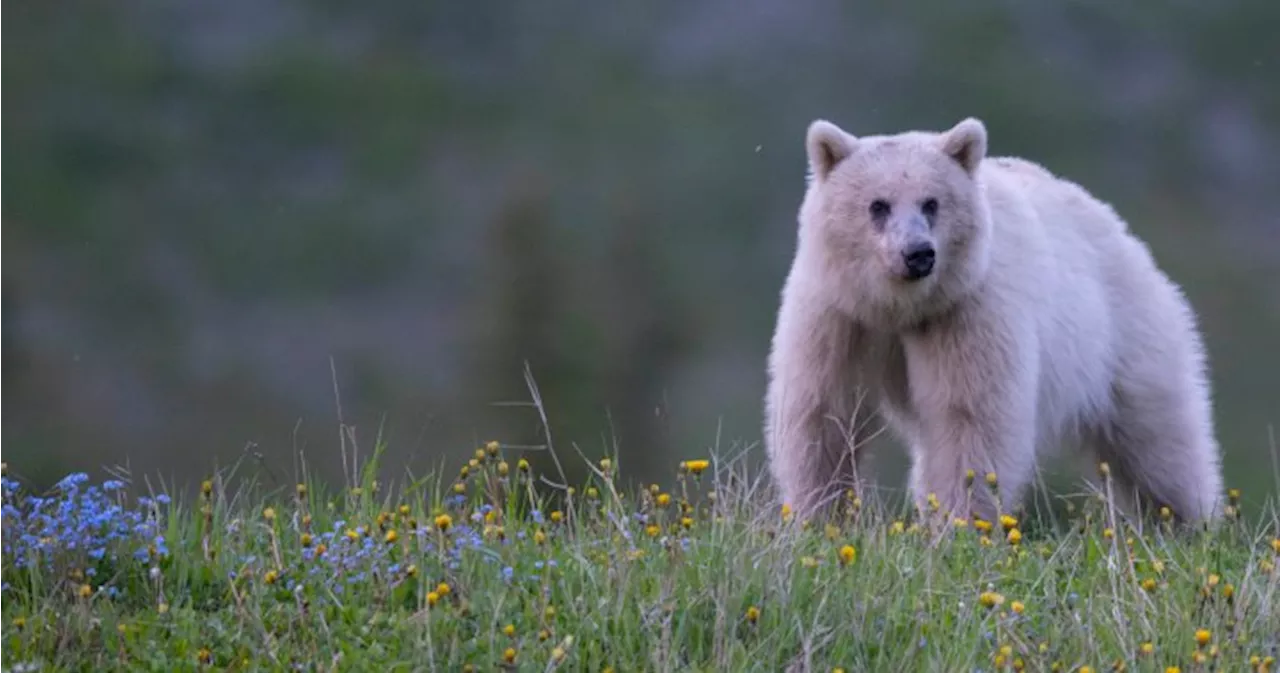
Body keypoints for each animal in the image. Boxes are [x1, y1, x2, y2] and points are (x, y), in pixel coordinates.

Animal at [762, 114, 1223, 527]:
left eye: (932, 202)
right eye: (878, 204)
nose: (918, 253)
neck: (899, 307)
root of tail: (1121, 231)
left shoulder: (965, 312)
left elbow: (970, 418)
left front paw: (962, 526)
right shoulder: (838, 316)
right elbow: (822, 411)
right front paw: (818, 518)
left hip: (1122, 335)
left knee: (1159, 439)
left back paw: (1190, 523)